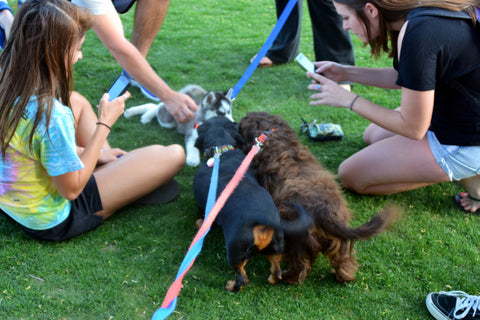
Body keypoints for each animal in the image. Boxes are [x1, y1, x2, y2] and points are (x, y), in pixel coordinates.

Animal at [238, 111, 400, 284]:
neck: (270, 131)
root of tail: (324, 210)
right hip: (339, 240)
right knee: (342, 259)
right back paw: (345, 276)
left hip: (297, 238)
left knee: (300, 264)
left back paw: (287, 277)